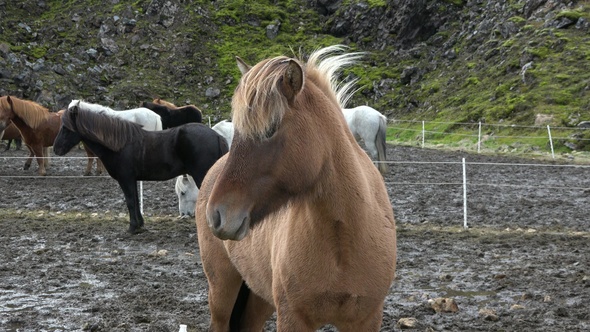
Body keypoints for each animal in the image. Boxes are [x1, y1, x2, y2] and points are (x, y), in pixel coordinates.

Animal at [54, 105, 229, 233]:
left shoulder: (125, 179)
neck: (120, 144)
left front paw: (132, 228)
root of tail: (217, 136)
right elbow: (136, 201)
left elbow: (130, 201)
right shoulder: (132, 180)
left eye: (66, 128)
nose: (56, 149)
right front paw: (140, 225)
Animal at [198, 44, 398, 332]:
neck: (344, 241)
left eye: (270, 129)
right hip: (222, 289)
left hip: (260, 298)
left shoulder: (366, 319)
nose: (217, 215)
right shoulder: (293, 318)